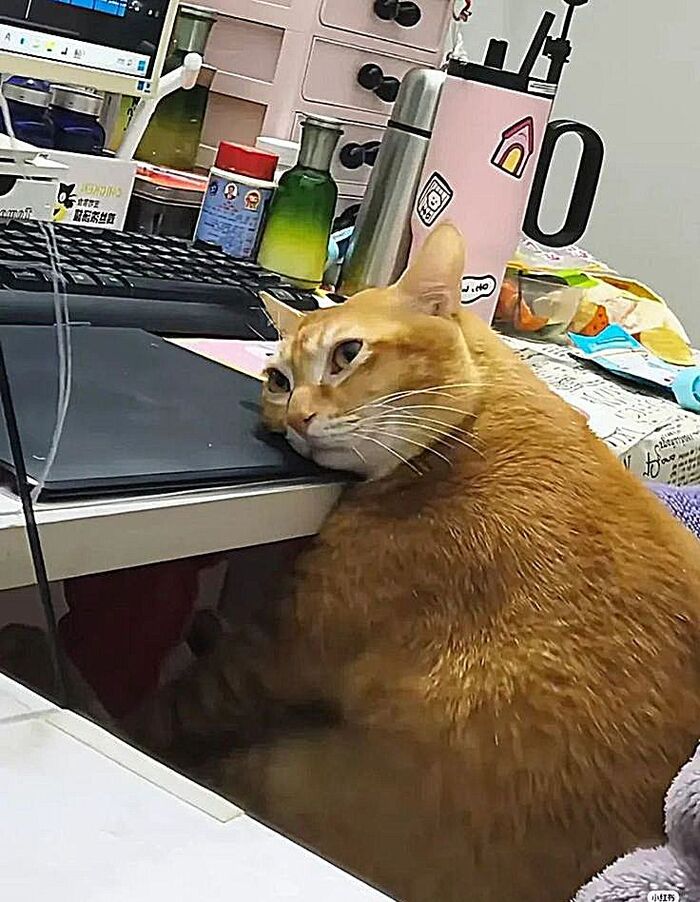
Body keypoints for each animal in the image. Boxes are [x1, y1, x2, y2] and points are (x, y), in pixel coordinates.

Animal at [130, 223, 700, 902]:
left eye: (346, 354)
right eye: (278, 380)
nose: (296, 419)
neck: (472, 424)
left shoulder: (276, 651)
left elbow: (175, 707)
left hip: (276, 766)